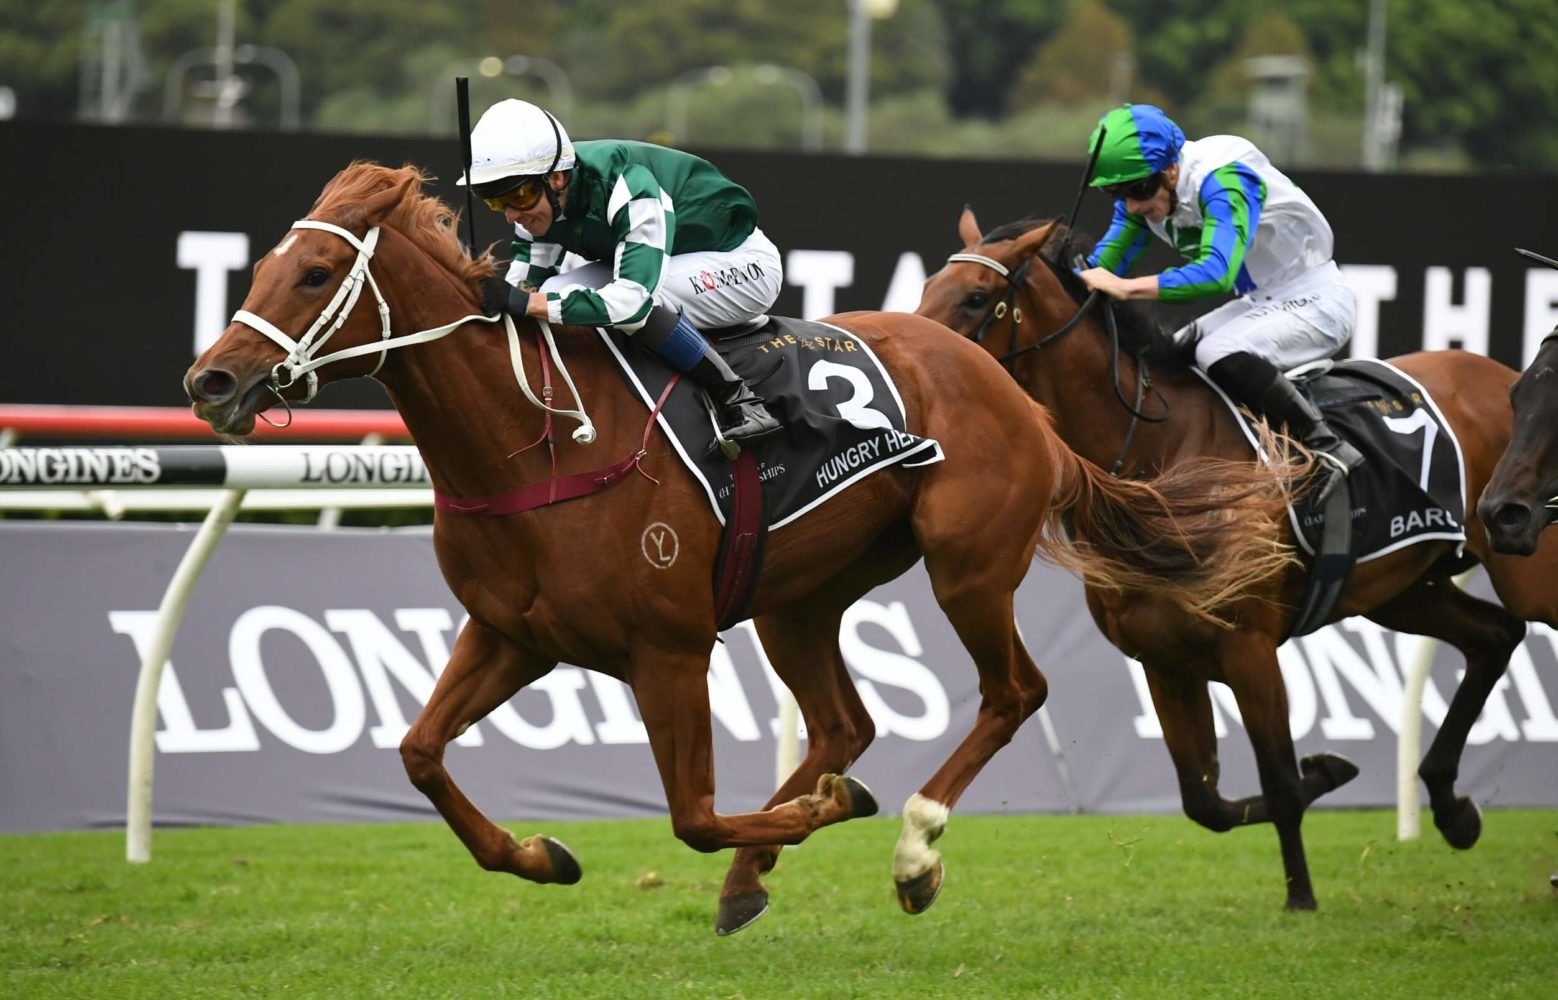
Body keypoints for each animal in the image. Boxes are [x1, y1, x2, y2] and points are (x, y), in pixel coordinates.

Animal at [183, 163, 1300, 935]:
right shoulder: (513, 635)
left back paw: (911, 848)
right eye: (264, 266)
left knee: (1011, 692)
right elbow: (418, 754)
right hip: (795, 597)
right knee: (845, 722)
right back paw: (762, 868)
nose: (211, 382)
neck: (535, 435)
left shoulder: (668, 651)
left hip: (966, 564)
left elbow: (692, 814)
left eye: (316, 271)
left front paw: (823, 821)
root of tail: (1011, 391)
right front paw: (543, 854)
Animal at [916, 208, 1558, 910]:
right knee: (1495, 635)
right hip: (1403, 590)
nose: (919, 349)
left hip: (1523, 561)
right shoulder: (1164, 659)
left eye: (977, 298)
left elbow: (1278, 783)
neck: (1165, 459)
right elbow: (1205, 802)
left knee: (1508, 624)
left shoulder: (1249, 648)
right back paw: (1452, 808)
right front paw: (1330, 770)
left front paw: (1301, 897)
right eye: (928, 288)